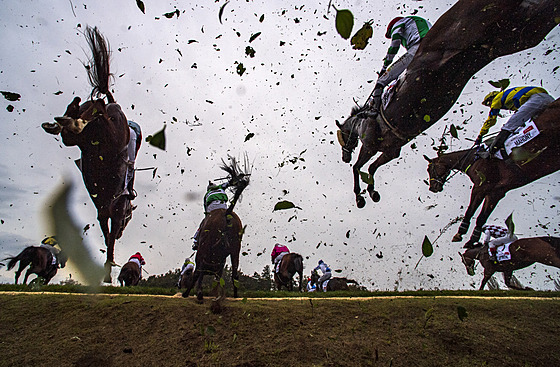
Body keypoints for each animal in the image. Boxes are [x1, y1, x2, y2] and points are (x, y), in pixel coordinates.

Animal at [40, 26, 136, 284]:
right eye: (128, 219)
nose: (124, 229)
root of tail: (112, 104)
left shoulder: (106, 209)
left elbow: (106, 230)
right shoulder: (113, 211)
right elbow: (109, 236)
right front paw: (108, 269)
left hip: (86, 130)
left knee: (77, 126)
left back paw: (68, 117)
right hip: (109, 129)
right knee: (96, 116)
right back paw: (77, 116)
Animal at [183, 157, 250, 304]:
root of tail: (227, 213)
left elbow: (199, 274)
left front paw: (197, 293)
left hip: (204, 249)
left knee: (199, 271)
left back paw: (189, 293)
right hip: (236, 248)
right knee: (235, 273)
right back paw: (235, 296)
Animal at [334, 0, 556, 207]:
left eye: (342, 136)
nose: (344, 157)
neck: (363, 121)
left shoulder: (370, 145)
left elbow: (358, 168)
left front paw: (360, 196)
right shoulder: (390, 151)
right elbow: (370, 168)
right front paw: (372, 192)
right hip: (512, 36)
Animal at [424, 98, 560, 247]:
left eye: (429, 169)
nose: (432, 188)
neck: (473, 158)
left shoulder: (481, 186)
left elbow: (470, 211)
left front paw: (460, 233)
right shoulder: (496, 192)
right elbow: (482, 218)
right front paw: (472, 241)